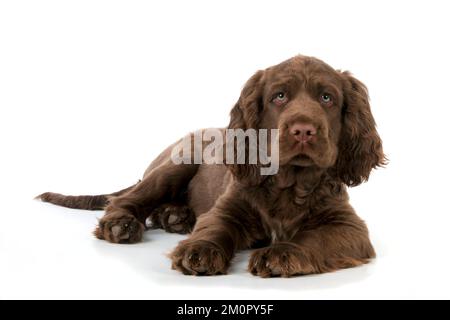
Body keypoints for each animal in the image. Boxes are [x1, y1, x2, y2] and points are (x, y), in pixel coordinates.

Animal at [38, 55, 384, 278]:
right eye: (279, 96)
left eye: (327, 98)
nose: (303, 130)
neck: (290, 184)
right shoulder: (228, 208)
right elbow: (215, 226)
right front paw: (200, 251)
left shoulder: (349, 227)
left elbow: (315, 238)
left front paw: (281, 253)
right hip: (178, 162)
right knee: (125, 199)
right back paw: (122, 224)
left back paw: (174, 216)